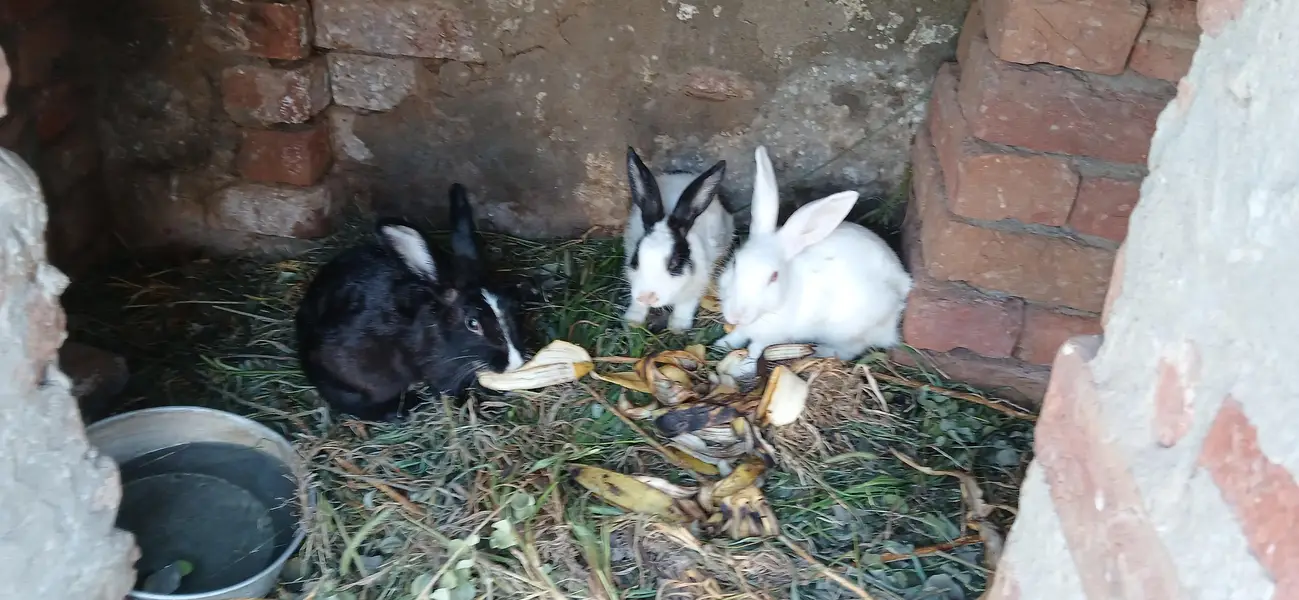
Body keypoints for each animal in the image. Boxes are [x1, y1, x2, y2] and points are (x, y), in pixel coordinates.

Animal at [622, 146, 734, 332]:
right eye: (635, 259)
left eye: (674, 264)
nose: (647, 297)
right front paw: (632, 320)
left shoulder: (697, 284)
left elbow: (685, 305)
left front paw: (678, 327)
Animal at [714, 145, 913, 361]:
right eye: (735, 263)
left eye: (774, 277)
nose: (736, 315)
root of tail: (903, 283)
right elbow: (737, 335)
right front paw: (721, 344)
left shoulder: (772, 336)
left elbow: (756, 349)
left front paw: (746, 364)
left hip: (849, 330)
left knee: (852, 348)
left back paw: (821, 351)